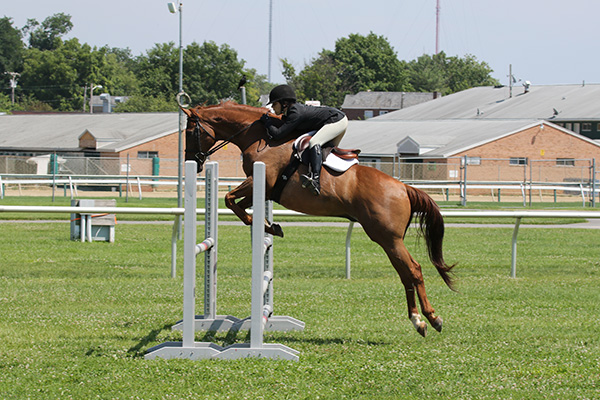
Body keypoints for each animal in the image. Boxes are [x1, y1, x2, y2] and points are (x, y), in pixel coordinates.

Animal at [182, 101, 454, 336]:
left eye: (189, 131)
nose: (191, 162)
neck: (261, 137)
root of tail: (403, 187)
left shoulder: (263, 181)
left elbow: (230, 199)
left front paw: (270, 227)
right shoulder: (263, 189)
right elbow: (236, 204)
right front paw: (271, 226)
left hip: (388, 238)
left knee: (413, 270)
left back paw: (430, 318)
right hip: (388, 240)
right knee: (405, 273)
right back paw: (418, 320)